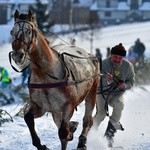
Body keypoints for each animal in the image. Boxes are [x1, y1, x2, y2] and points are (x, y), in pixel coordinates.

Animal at [9, 9, 100, 149]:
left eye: (28, 31)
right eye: (12, 32)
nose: (17, 55)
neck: (46, 76)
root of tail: (90, 55)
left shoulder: (68, 105)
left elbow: (63, 132)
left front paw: (70, 132)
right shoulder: (41, 106)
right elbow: (28, 118)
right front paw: (41, 145)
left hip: (92, 90)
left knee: (87, 120)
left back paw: (82, 141)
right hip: (55, 111)